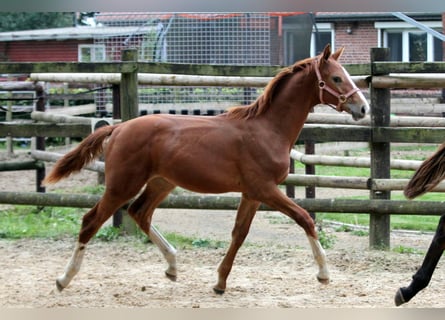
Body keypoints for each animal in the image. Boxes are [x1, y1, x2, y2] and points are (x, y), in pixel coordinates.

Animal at [42, 45, 368, 296]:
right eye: (336, 78)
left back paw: (172, 266)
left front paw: (220, 282)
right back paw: (63, 279)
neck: (267, 129)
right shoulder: (265, 189)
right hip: (122, 185)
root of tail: (119, 127)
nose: (362, 108)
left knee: (140, 213)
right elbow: (305, 219)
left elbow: (239, 234)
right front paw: (324, 274)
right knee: (91, 221)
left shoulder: (251, 194)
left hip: (161, 183)